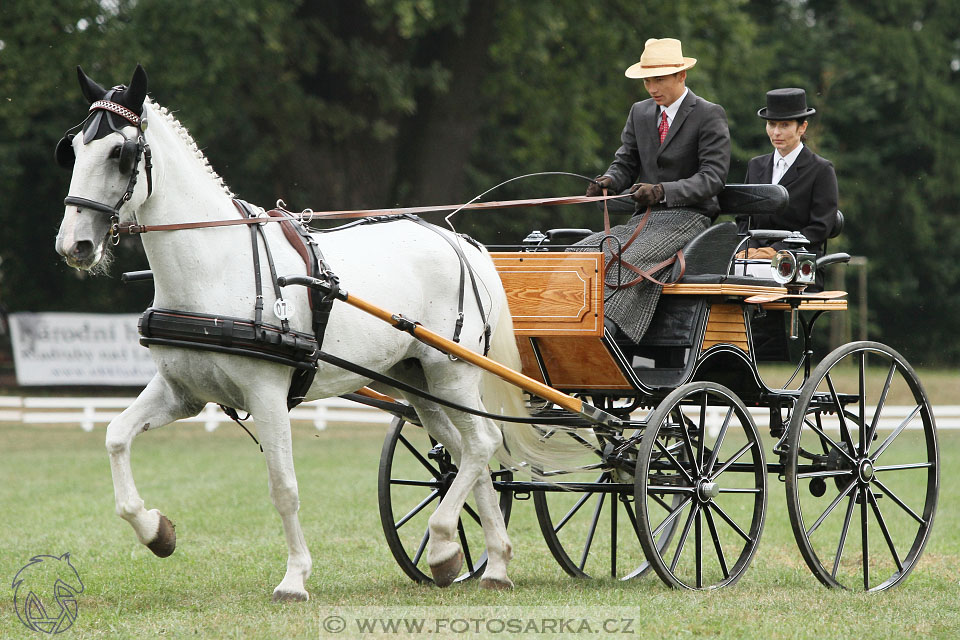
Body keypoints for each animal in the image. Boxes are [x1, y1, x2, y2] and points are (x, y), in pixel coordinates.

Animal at [56, 63, 540, 600]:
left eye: (119, 153)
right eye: (72, 149)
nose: (74, 245)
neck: (215, 268)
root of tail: (460, 242)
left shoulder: (266, 393)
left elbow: (283, 488)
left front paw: (294, 578)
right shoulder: (183, 391)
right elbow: (116, 437)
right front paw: (156, 531)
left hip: (450, 372)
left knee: (481, 443)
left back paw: (443, 545)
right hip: (418, 383)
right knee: (468, 452)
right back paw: (491, 562)